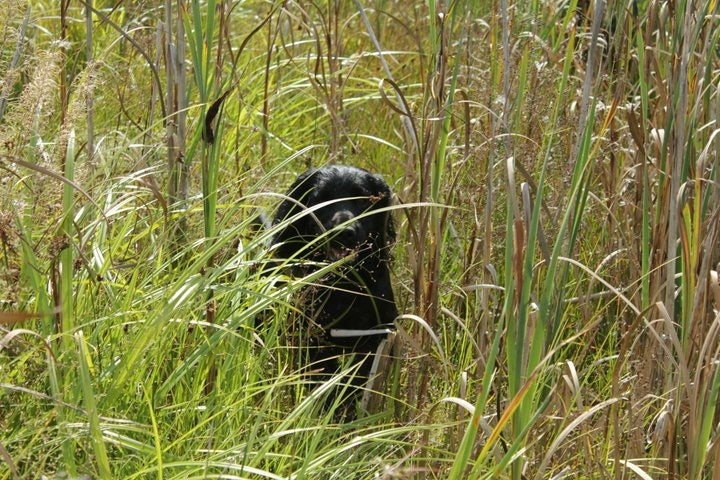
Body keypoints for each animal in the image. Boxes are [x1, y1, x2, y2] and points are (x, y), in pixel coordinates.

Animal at [272, 164, 400, 416]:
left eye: (362, 197)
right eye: (321, 198)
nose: (344, 232)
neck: (343, 286)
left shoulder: (376, 337)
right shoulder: (311, 339)